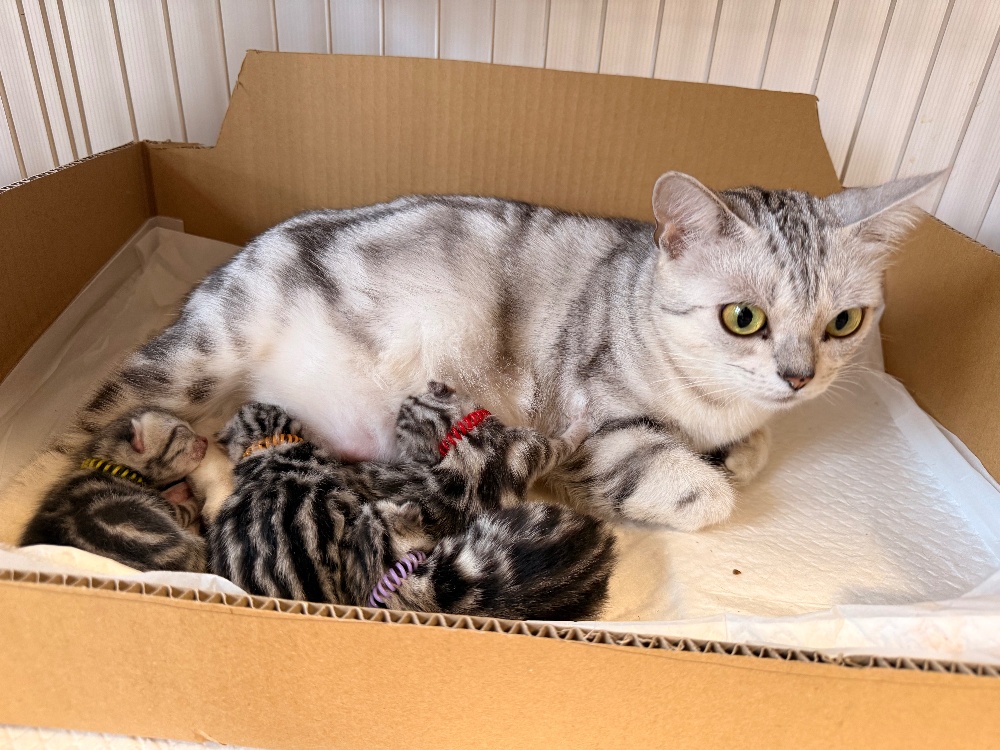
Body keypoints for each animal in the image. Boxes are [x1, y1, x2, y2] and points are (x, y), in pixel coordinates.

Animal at [1, 170, 941, 543]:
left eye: (846, 322)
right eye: (743, 318)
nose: (799, 375)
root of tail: (225, 265)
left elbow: (752, 447)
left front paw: (744, 446)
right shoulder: (594, 421)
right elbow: (692, 487)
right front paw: (700, 479)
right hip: (193, 358)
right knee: (74, 431)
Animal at [20, 409, 209, 572]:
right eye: (181, 430)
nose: (205, 440)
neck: (112, 465)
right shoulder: (165, 507)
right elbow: (185, 508)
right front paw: (191, 493)